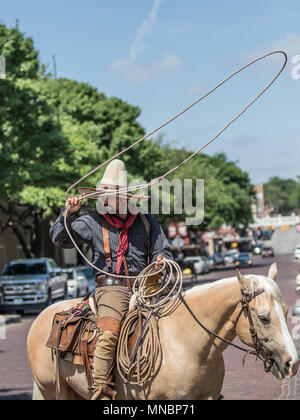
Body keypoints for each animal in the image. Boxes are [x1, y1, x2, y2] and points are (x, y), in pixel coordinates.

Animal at [27, 262, 298, 400]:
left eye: (286, 311)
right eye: (263, 317)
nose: (292, 363)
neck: (189, 343)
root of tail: (43, 314)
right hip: (51, 389)